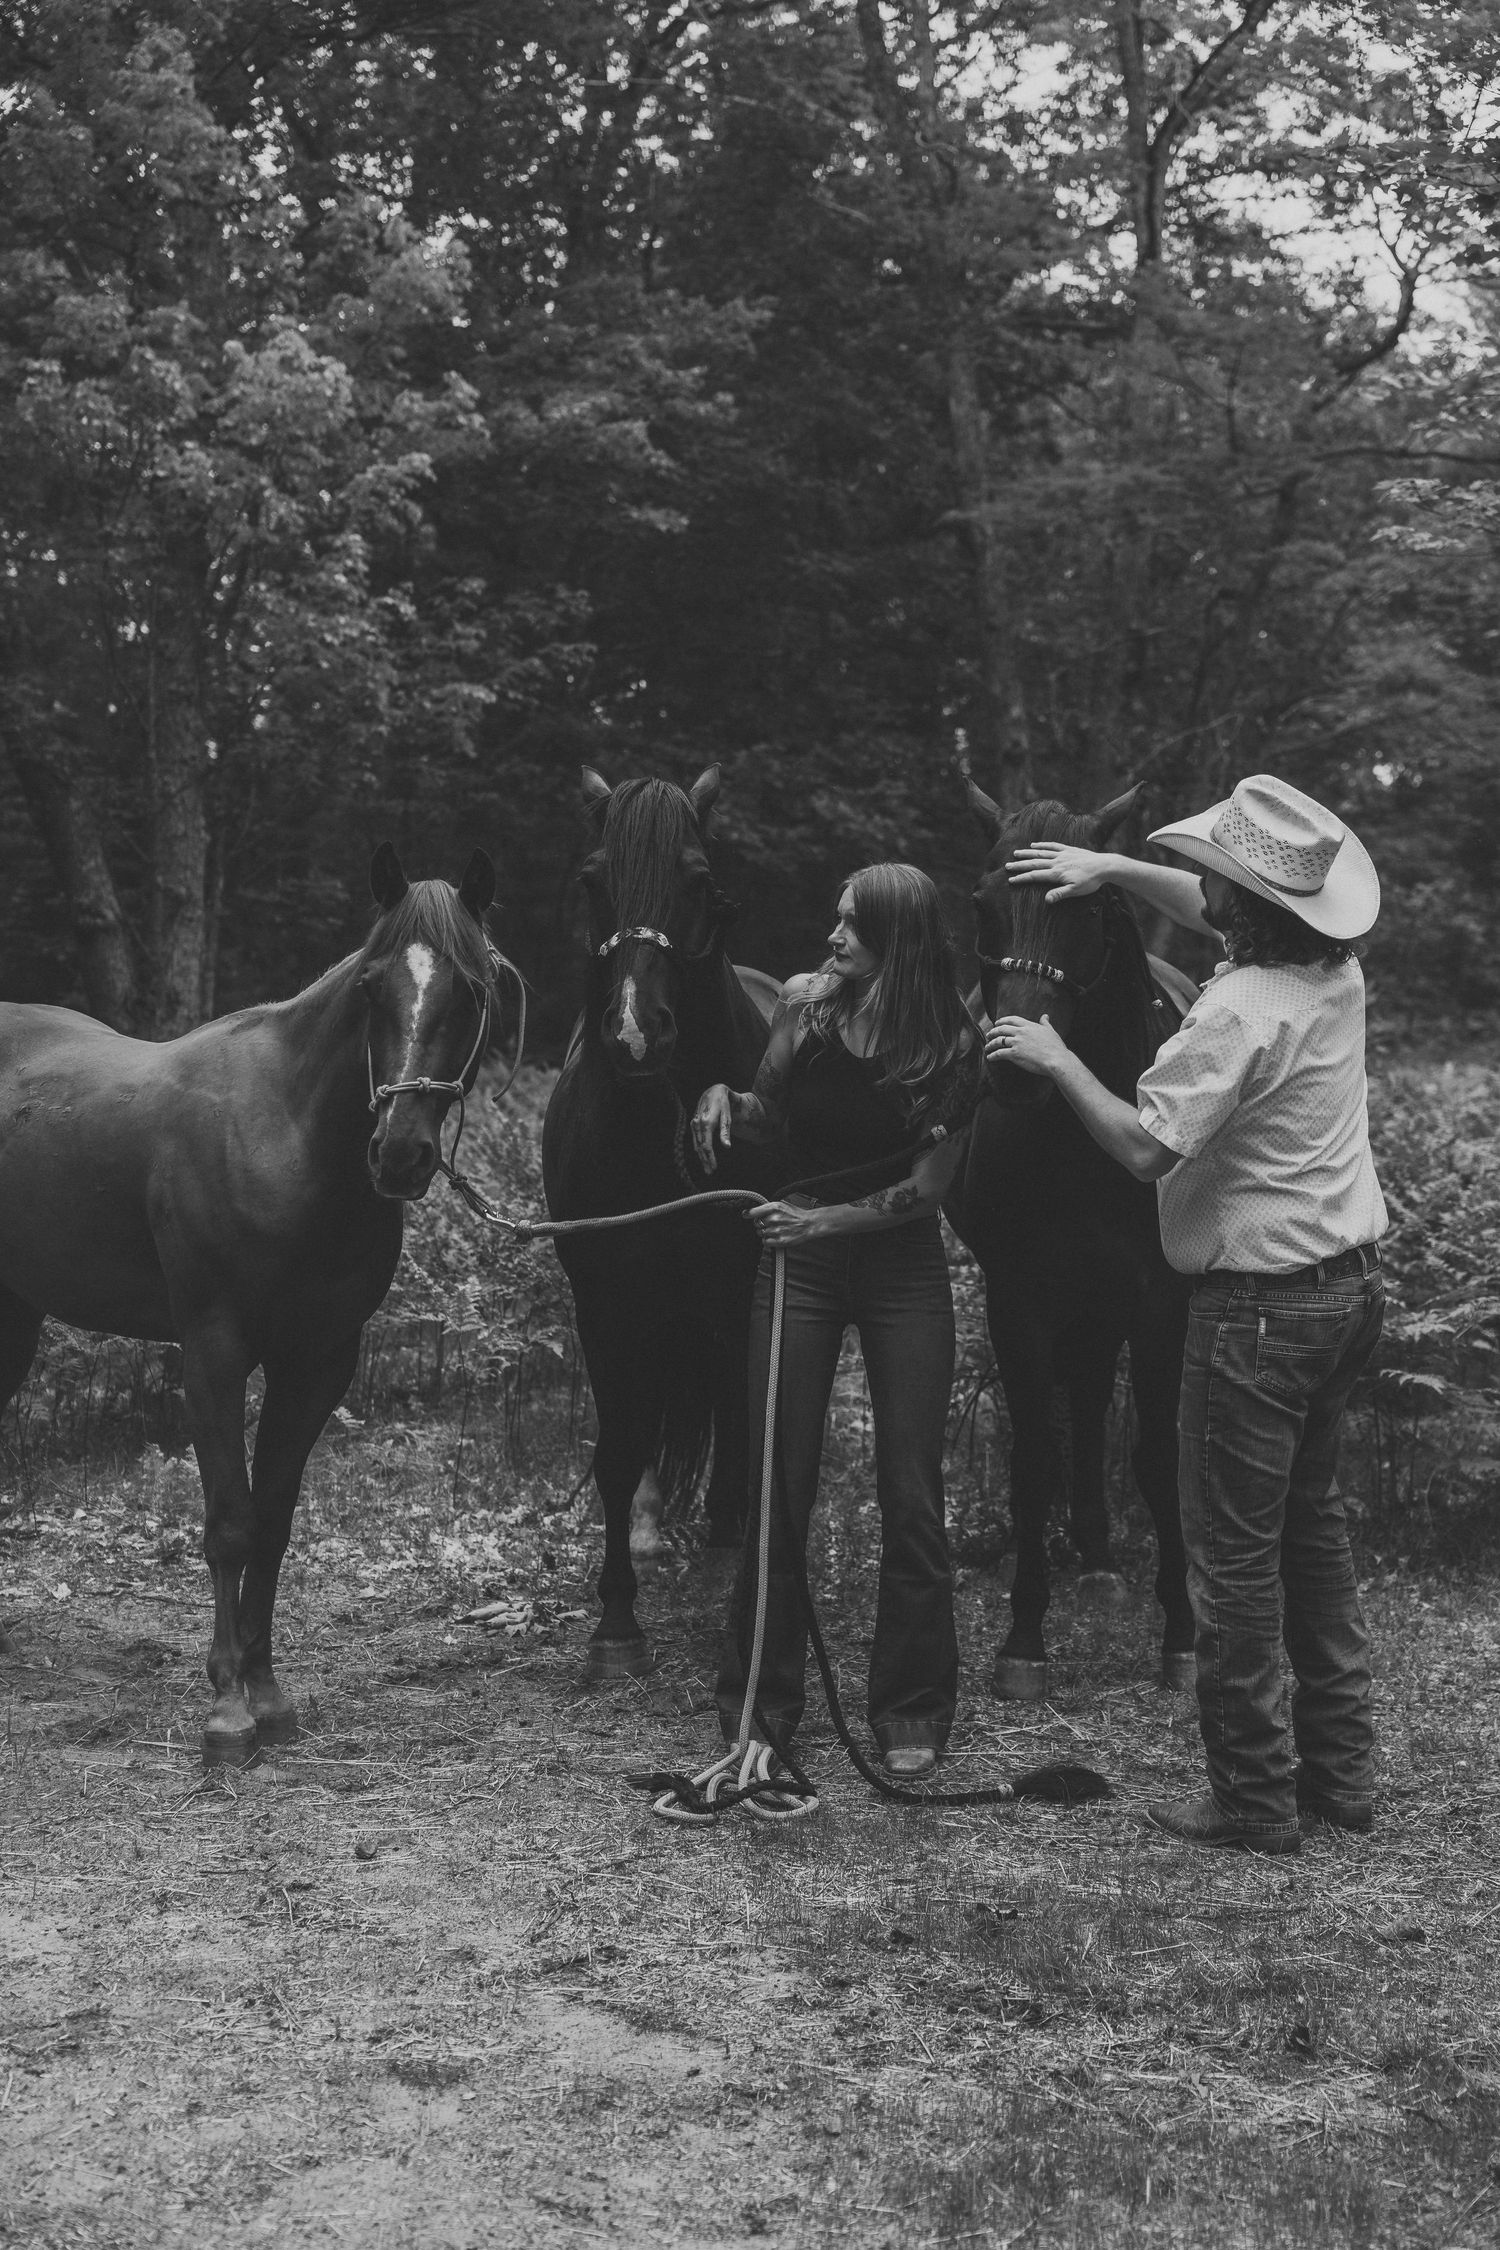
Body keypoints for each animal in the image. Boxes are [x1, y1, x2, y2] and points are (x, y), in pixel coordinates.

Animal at [0, 845, 505, 1761]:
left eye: (473, 990)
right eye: (371, 986)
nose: (401, 1153)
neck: (288, 1138)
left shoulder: (318, 1361)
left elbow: (273, 1521)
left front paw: (267, 1695)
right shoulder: (214, 1351)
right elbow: (231, 1520)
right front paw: (228, 1708)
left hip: (14, 1318)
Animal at [542, 765, 784, 1681]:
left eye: (699, 880)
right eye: (592, 880)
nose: (635, 1034)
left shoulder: (746, 1289)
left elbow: (755, 1438)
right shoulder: (607, 1303)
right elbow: (617, 1456)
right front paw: (616, 1624)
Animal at [943, 782, 1196, 1701]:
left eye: (1087, 907)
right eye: (981, 903)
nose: (1015, 1067)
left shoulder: (1160, 1300)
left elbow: (1156, 1459)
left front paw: (1182, 1635)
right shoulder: (1021, 1296)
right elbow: (1031, 1463)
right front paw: (1024, 1638)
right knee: (1083, 1399)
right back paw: (1090, 1556)